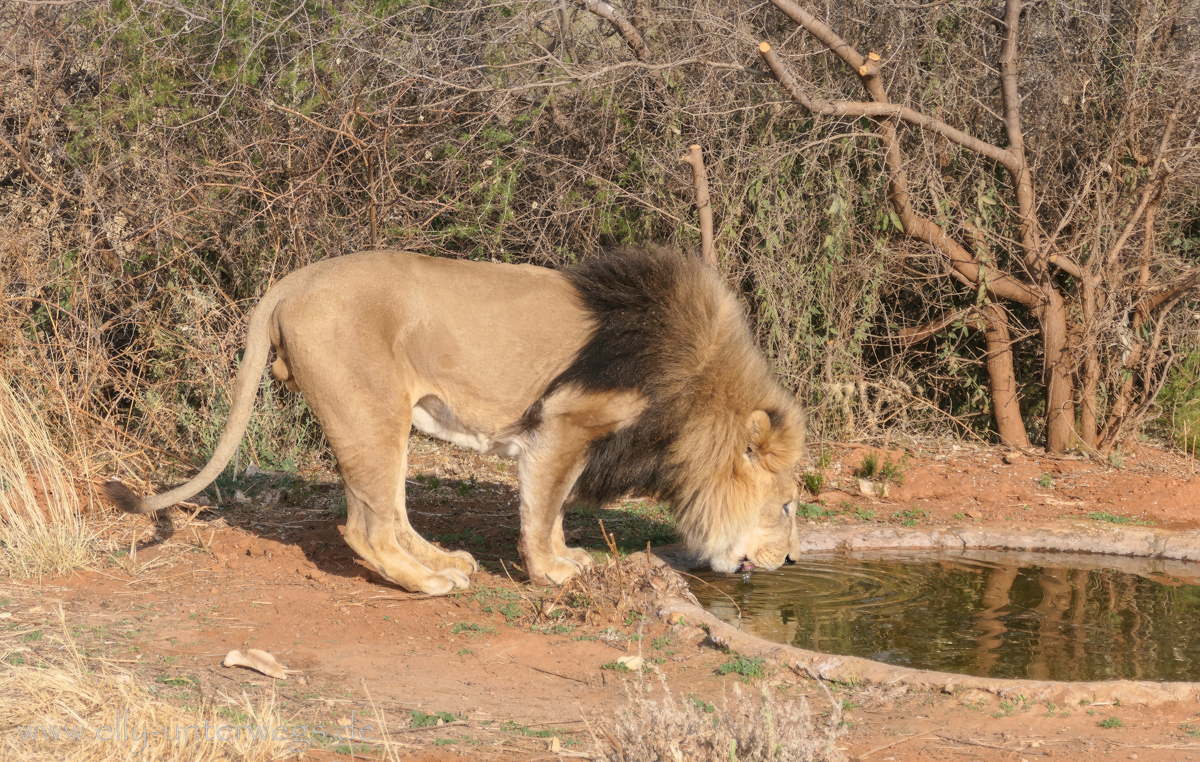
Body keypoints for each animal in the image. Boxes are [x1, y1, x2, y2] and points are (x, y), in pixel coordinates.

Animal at [105, 247, 806, 592]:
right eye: (788, 506)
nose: (793, 562)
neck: (698, 395)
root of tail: (291, 282)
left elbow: (553, 508)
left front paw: (568, 560)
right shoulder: (565, 424)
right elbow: (543, 508)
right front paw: (551, 573)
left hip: (387, 422)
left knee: (391, 511)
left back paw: (444, 560)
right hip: (371, 413)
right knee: (365, 529)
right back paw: (429, 582)